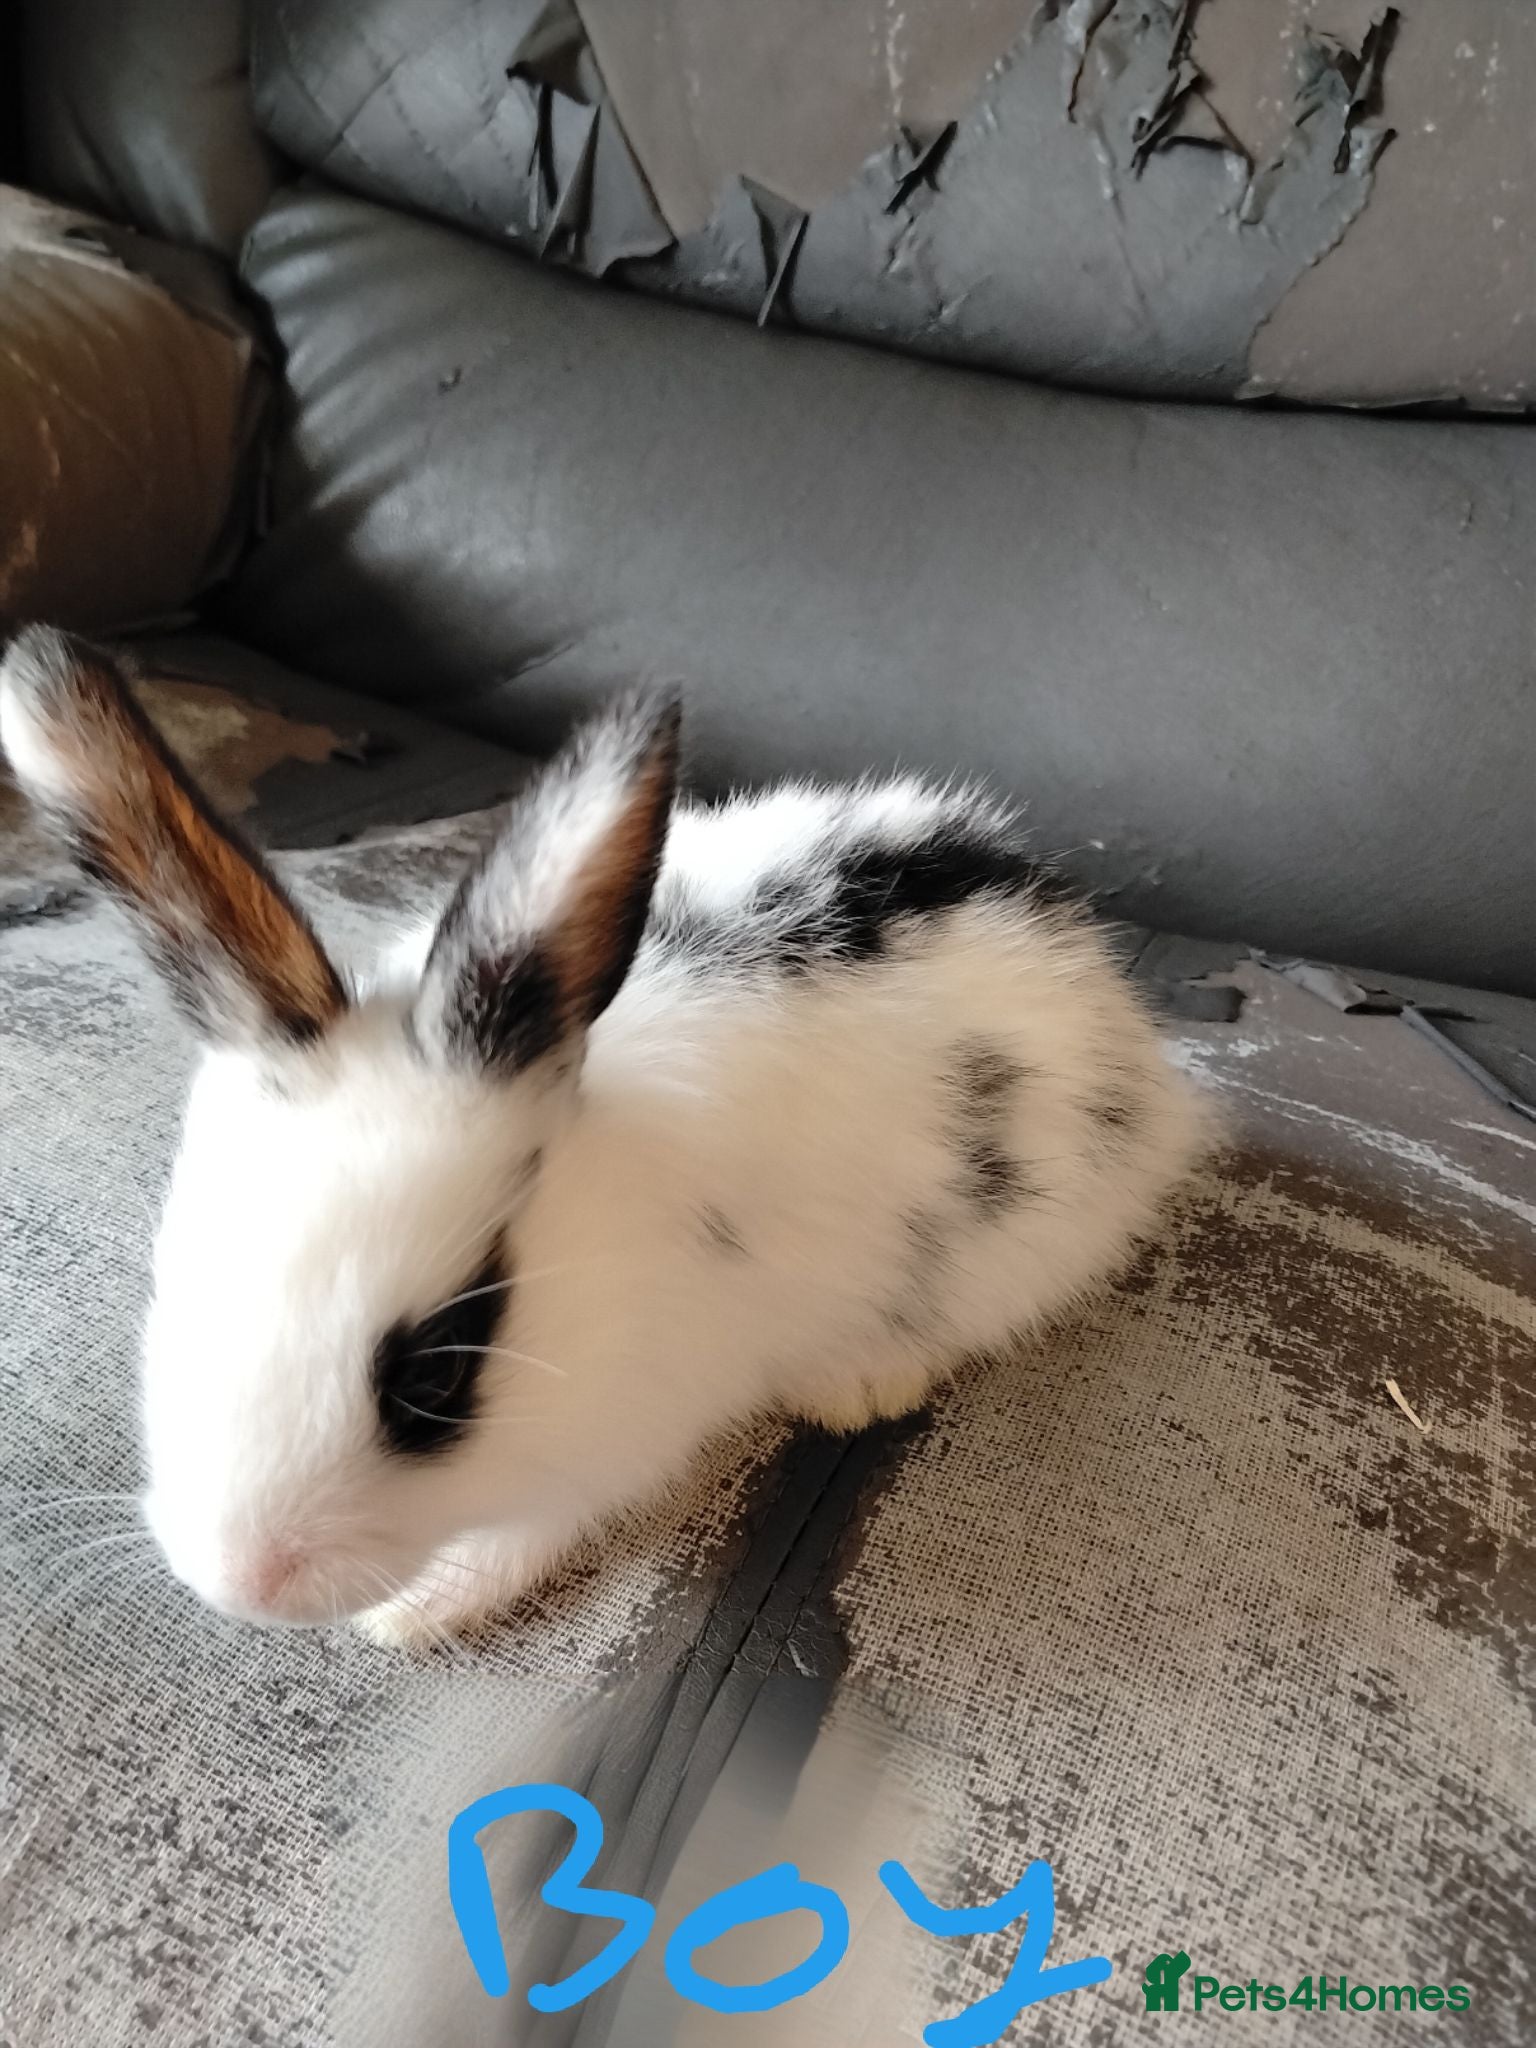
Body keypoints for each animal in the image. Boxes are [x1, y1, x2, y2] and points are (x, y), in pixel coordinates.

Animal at [0, 625, 1207, 1648]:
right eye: (177, 1290)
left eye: (436, 1376)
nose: (243, 1582)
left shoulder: (617, 1440)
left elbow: (525, 1535)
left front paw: (417, 1613)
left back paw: (861, 1379)